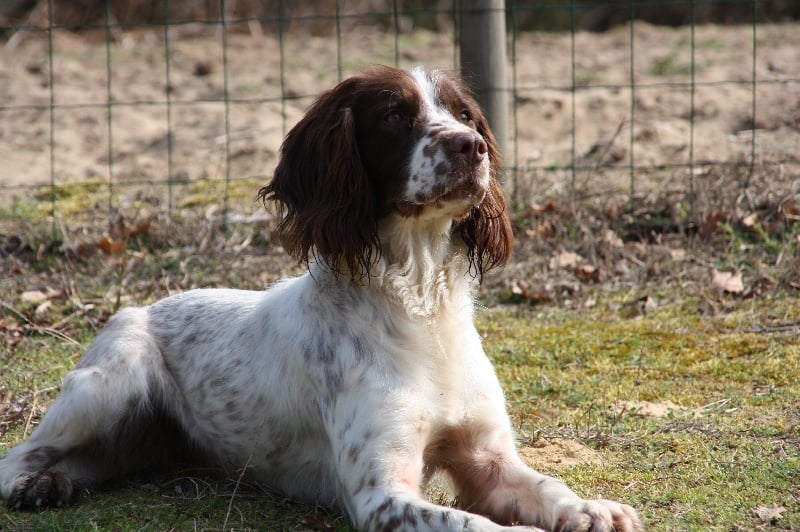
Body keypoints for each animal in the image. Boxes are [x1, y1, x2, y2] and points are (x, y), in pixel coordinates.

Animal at [0, 66, 642, 531]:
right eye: (395, 115)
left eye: (464, 114)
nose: (472, 146)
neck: (419, 304)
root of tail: (142, 305)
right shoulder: (381, 494)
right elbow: (473, 525)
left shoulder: (491, 461)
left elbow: (548, 485)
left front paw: (593, 509)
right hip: (108, 384)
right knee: (21, 454)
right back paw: (34, 483)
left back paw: (58, 483)